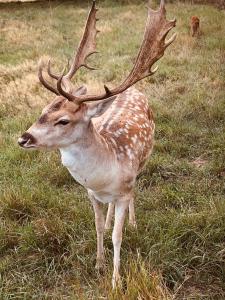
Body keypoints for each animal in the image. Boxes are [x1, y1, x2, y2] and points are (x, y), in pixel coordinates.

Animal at [18, 0, 176, 288]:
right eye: (43, 110)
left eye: (63, 121)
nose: (24, 138)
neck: (103, 175)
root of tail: (133, 89)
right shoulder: (91, 194)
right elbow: (99, 227)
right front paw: (99, 263)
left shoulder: (124, 189)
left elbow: (117, 236)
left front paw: (116, 280)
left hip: (143, 162)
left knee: (135, 194)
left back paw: (132, 222)